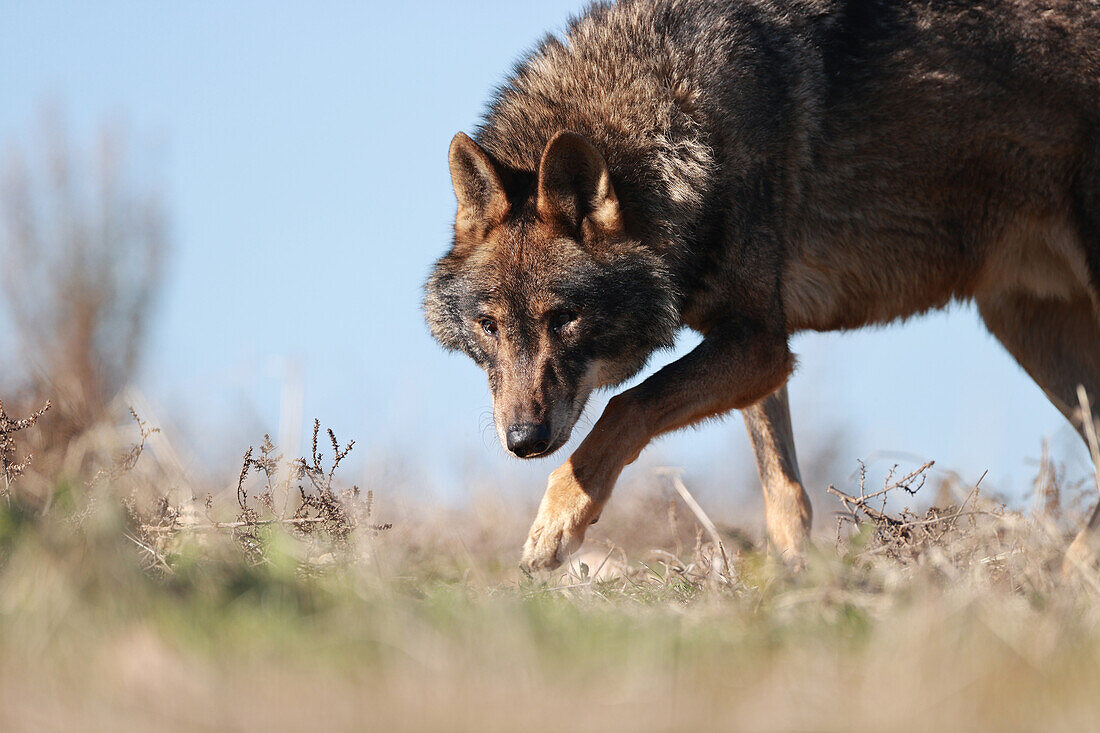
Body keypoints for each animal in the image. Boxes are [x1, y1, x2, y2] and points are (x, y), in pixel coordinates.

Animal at [422, 0, 1100, 572]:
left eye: (564, 319)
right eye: (488, 326)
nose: (523, 441)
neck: (683, 130)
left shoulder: (759, 345)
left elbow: (625, 408)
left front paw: (554, 527)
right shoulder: (755, 348)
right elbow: (785, 496)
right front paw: (796, 585)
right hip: (1027, 330)